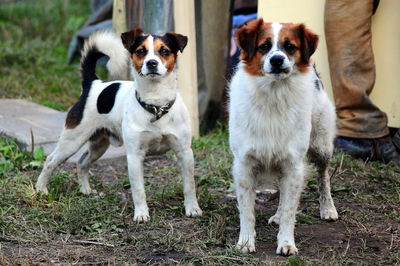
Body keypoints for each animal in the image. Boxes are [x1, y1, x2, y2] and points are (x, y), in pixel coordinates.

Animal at [35, 28, 202, 221]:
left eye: (164, 51)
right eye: (141, 51)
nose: (151, 63)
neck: (156, 105)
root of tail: (93, 84)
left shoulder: (185, 153)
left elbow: (189, 185)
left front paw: (192, 208)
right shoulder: (135, 156)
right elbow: (138, 190)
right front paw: (141, 214)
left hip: (99, 145)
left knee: (82, 162)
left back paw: (85, 190)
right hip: (72, 141)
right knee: (50, 161)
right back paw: (41, 189)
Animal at [228, 18, 338, 256]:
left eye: (289, 46)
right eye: (264, 46)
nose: (277, 59)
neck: (274, 94)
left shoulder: (293, 164)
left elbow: (290, 208)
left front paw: (286, 242)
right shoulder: (244, 165)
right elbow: (247, 210)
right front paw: (246, 241)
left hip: (321, 146)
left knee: (323, 176)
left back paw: (328, 207)